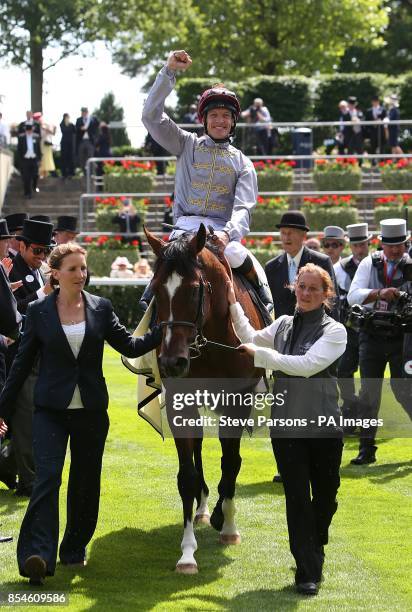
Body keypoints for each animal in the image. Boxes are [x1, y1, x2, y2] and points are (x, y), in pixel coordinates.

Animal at [145, 225, 268, 572]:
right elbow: (186, 475)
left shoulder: (238, 401)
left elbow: (232, 462)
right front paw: (187, 552)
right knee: (198, 444)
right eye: (156, 290)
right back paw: (201, 508)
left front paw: (227, 525)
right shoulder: (181, 400)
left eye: (194, 290)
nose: (172, 362)